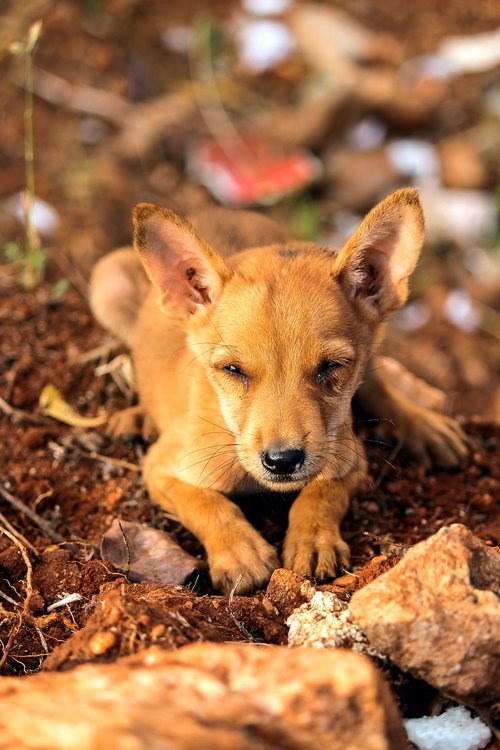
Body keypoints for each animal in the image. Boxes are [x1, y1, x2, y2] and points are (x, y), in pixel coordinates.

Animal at [91, 191, 468, 596]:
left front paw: (313, 540)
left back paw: (425, 427)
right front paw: (241, 553)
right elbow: (207, 504)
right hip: (107, 282)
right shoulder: (161, 469)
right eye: (232, 370)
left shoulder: (348, 455)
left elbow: (322, 492)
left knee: (378, 382)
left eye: (331, 367)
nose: (282, 460)